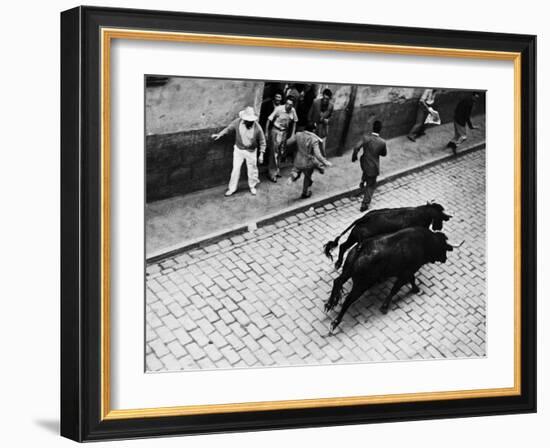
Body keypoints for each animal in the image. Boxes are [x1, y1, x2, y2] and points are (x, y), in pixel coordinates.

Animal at [324, 203, 452, 270]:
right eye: (441, 217)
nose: (439, 228)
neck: (422, 214)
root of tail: (364, 218)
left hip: (353, 236)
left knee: (343, 246)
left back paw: (338, 263)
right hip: (357, 238)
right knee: (344, 246)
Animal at [326, 228, 464, 332]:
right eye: (443, 247)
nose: (445, 259)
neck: (423, 242)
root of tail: (362, 246)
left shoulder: (408, 272)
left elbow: (411, 280)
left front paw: (416, 289)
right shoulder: (406, 272)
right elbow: (395, 289)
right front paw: (384, 306)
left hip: (347, 272)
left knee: (337, 281)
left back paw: (329, 304)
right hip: (362, 284)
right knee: (348, 300)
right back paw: (335, 322)